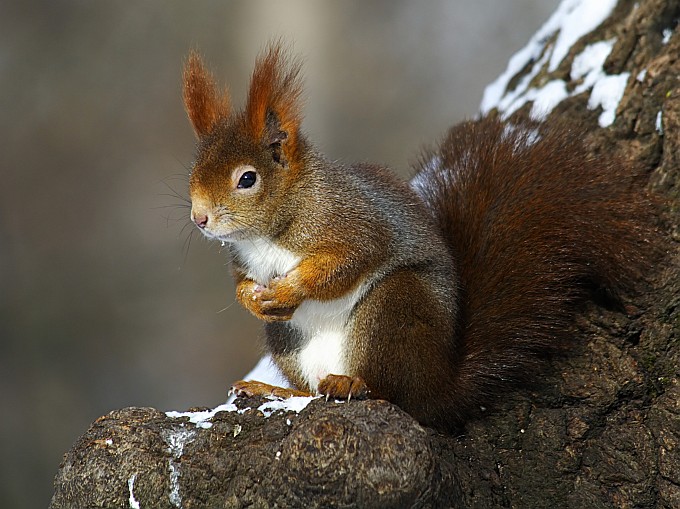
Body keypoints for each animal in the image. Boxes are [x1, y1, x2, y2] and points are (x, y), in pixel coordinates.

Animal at [181, 43, 660, 430]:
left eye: (247, 179)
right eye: (194, 173)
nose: (200, 219)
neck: (267, 232)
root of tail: (440, 386)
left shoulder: (352, 223)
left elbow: (348, 261)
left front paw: (289, 290)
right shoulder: (243, 260)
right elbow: (241, 283)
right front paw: (252, 299)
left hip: (395, 307)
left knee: (394, 394)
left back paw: (353, 383)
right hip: (288, 342)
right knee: (312, 391)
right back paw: (277, 390)